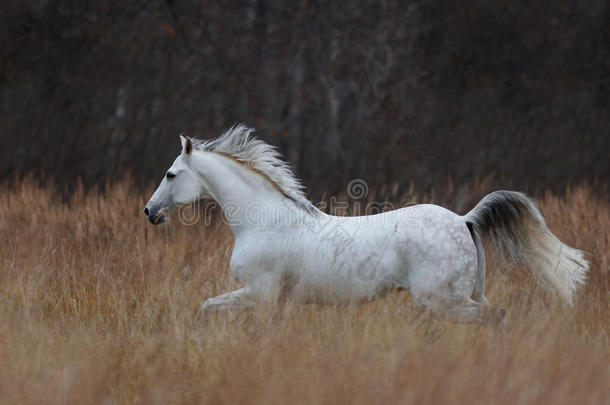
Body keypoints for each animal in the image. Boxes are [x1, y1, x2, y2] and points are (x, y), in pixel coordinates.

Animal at [145, 124, 588, 324]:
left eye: (170, 174)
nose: (150, 212)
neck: (265, 223)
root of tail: (464, 220)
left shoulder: (260, 293)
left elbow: (208, 307)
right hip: (462, 295)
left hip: (442, 300)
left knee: (494, 316)